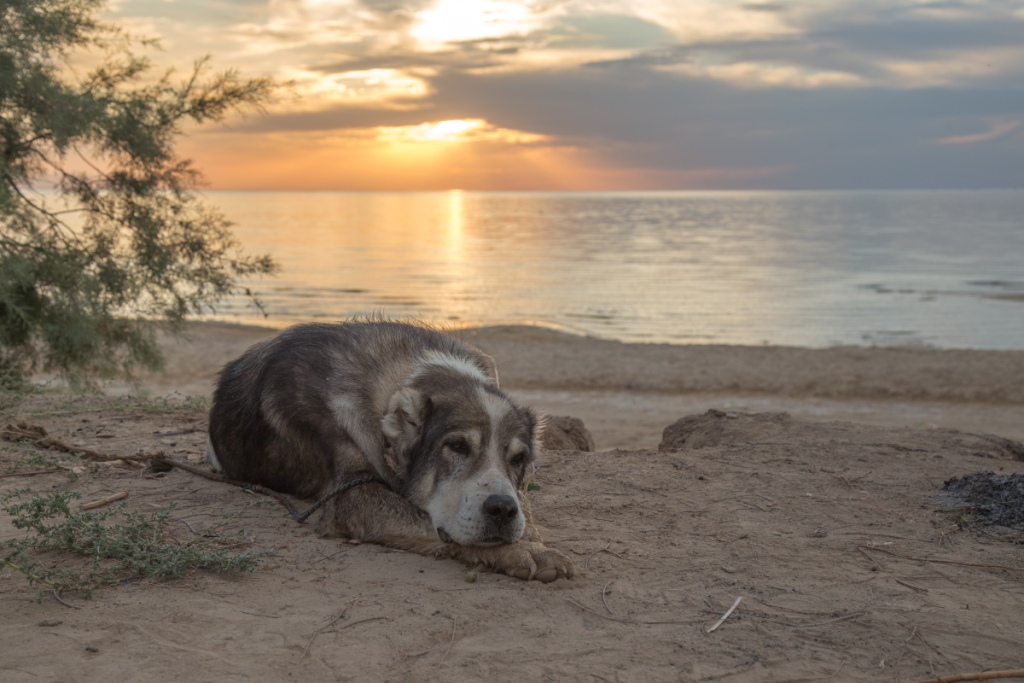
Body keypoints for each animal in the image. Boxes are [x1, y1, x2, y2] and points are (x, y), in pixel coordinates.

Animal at [205, 321, 577, 581]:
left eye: (518, 459)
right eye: (457, 446)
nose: (501, 510)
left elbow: (525, 508)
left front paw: (531, 540)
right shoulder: (354, 496)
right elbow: (435, 526)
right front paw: (525, 553)